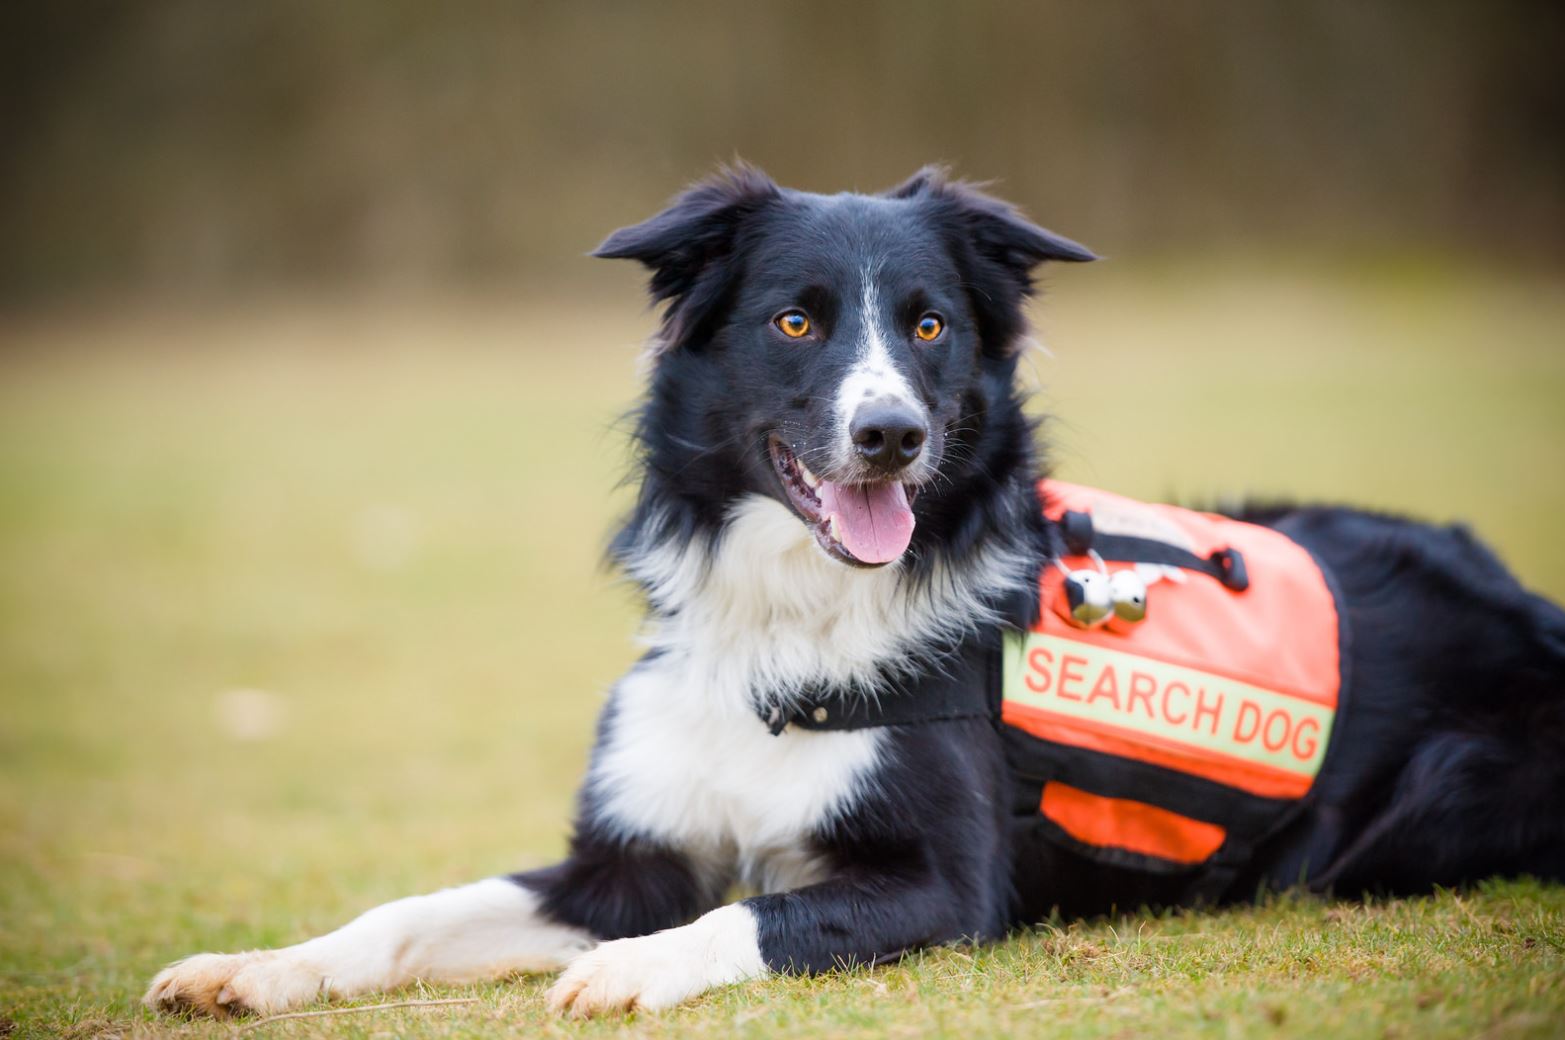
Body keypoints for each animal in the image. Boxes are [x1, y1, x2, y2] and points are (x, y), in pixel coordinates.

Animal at [143, 166, 1565, 1019]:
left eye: (929, 325)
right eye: (794, 320)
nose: (889, 434)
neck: (793, 622)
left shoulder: (943, 887)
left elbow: (754, 907)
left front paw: (627, 968)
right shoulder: (620, 856)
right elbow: (411, 908)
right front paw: (257, 966)